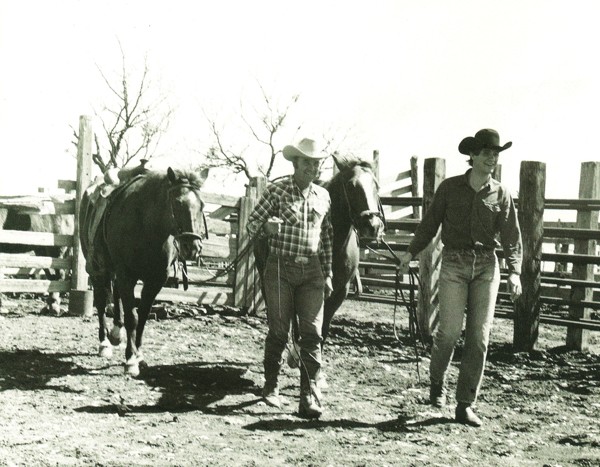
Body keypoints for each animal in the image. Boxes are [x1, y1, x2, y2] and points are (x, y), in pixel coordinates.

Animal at [80, 167, 208, 377]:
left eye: (202, 205)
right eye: (177, 203)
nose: (192, 247)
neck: (147, 226)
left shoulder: (155, 280)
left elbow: (143, 316)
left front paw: (138, 354)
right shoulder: (126, 275)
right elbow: (132, 317)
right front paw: (131, 360)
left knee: (115, 295)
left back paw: (116, 333)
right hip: (98, 269)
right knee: (100, 300)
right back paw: (104, 343)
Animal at [253, 154, 385, 345]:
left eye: (376, 185)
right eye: (351, 185)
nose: (373, 226)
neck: (336, 248)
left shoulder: (338, 293)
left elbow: (322, 330)